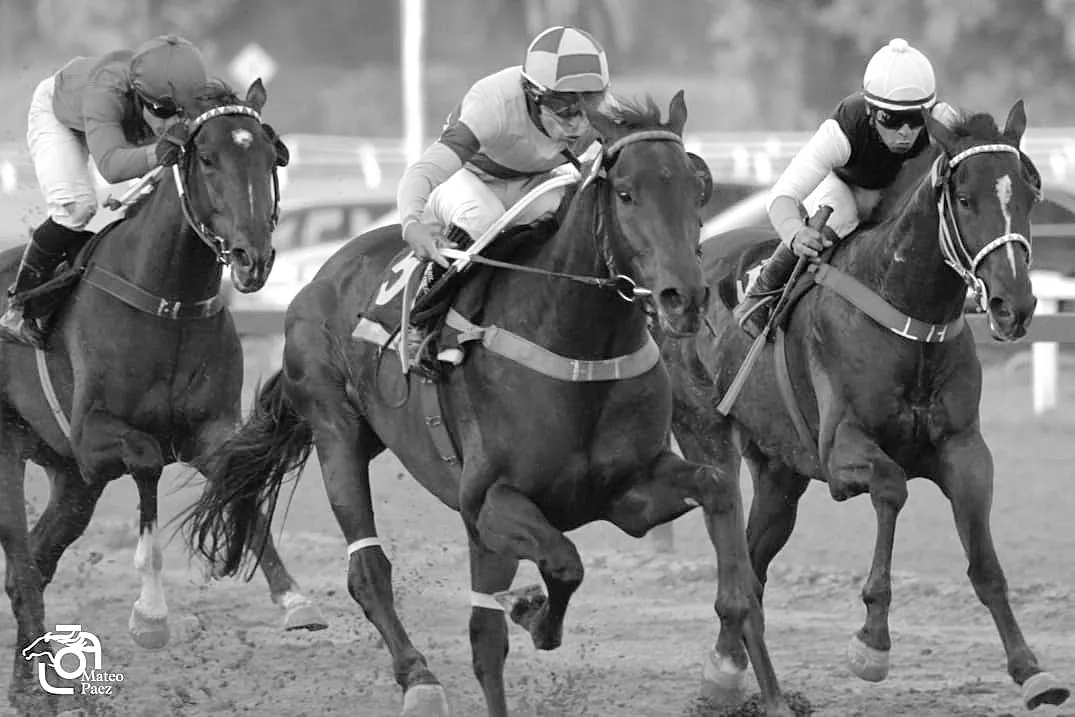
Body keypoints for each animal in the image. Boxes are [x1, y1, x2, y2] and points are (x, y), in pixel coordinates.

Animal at [1, 80, 322, 717]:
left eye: (271, 157)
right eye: (208, 158)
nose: (253, 259)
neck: (166, 300)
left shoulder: (207, 430)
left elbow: (241, 477)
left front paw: (294, 599)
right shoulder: (95, 437)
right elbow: (148, 461)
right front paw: (150, 615)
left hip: (72, 481)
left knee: (41, 561)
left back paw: (32, 685)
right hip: (12, 453)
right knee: (22, 568)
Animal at [187, 92, 799, 713]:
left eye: (699, 189)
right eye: (626, 192)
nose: (685, 298)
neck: (578, 348)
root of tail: (320, 276)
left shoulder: (628, 493)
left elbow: (720, 504)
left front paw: (767, 690)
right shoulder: (487, 501)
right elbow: (563, 564)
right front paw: (533, 612)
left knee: (481, 634)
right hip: (337, 431)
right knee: (371, 570)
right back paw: (420, 679)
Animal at [662, 101, 1066, 713]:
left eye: (1028, 193)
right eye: (964, 198)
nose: (1012, 305)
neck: (909, 313)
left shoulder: (965, 450)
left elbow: (986, 564)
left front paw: (1031, 671)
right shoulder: (841, 452)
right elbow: (893, 488)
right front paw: (872, 643)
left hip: (779, 473)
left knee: (751, 567)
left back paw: (724, 674)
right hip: (707, 438)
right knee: (734, 565)